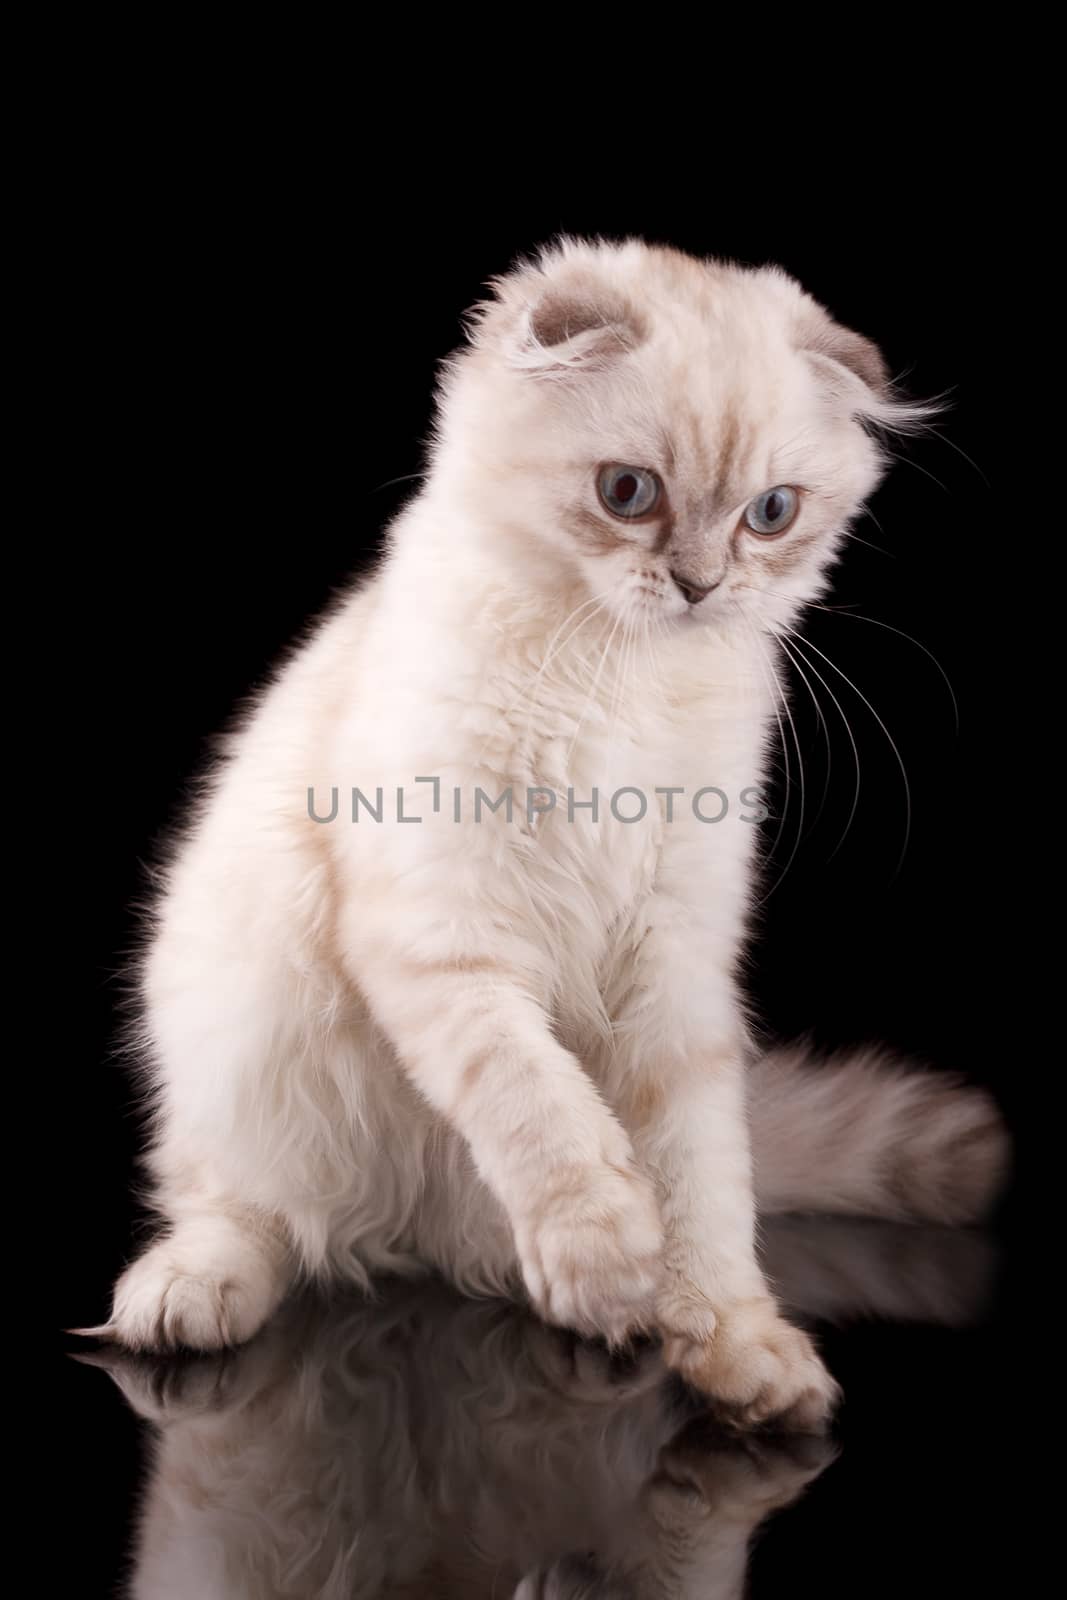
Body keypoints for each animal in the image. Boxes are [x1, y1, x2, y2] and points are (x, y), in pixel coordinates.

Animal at [83, 233, 1011, 1427]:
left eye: (769, 513)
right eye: (627, 493)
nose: (699, 585)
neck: (619, 679)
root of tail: (409, 1239)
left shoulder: (679, 965)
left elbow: (703, 1187)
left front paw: (734, 1347)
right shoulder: (444, 933)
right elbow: (541, 1107)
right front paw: (605, 1250)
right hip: (234, 1058)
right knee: (249, 1213)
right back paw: (187, 1298)